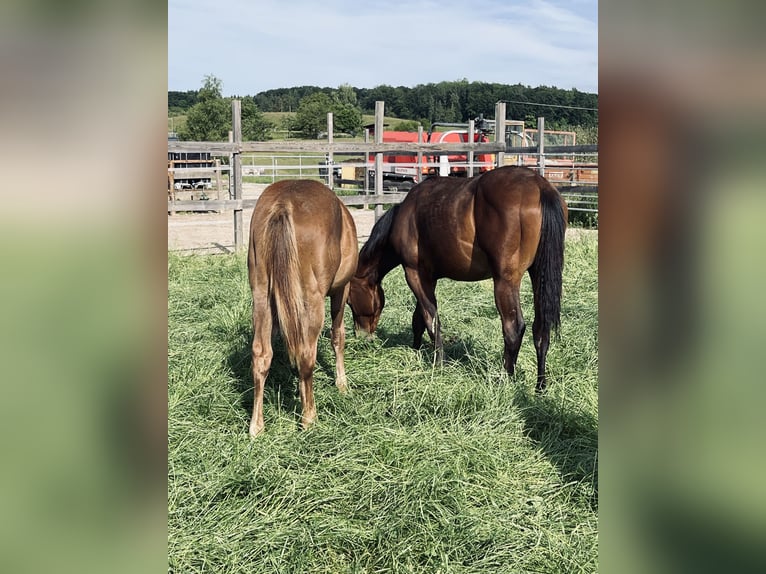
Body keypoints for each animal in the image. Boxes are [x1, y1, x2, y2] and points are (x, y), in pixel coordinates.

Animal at [247, 179, 358, 436]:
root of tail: (283, 204)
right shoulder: (342, 290)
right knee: (308, 354)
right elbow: (337, 335)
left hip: (261, 297)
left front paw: (300, 391)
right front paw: (341, 384)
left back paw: (256, 426)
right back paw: (309, 418)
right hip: (312, 301)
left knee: (261, 355)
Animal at [347, 165, 567, 391]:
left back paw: (505, 379)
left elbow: (430, 319)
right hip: (538, 274)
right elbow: (419, 320)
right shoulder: (428, 278)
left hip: (505, 282)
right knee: (541, 330)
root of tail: (539, 186)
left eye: (349, 301)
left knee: (513, 329)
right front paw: (416, 351)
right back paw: (540, 386)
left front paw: (438, 364)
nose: (361, 336)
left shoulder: (414, 273)